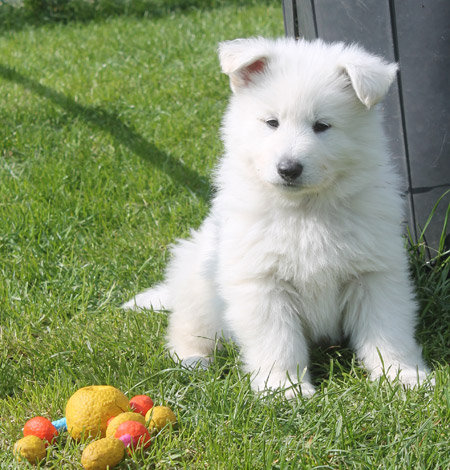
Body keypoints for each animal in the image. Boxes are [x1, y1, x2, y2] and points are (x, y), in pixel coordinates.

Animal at [123, 37, 432, 396]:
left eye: (322, 126)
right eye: (272, 123)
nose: (288, 169)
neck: (305, 210)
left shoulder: (375, 274)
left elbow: (388, 330)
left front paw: (403, 376)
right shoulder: (261, 282)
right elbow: (278, 340)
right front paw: (284, 388)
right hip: (199, 288)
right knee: (184, 330)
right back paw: (193, 360)